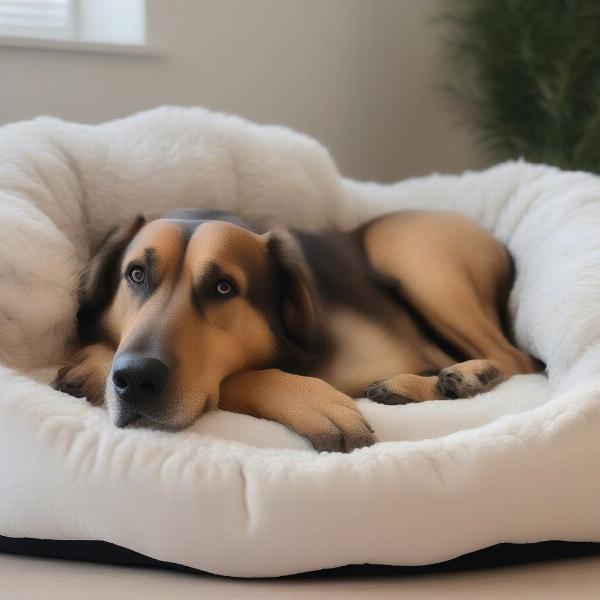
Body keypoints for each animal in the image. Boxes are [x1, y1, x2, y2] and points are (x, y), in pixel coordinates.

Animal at [55, 210, 540, 450]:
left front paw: (312, 400)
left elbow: (239, 377)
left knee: (519, 360)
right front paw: (93, 365)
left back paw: (461, 376)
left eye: (223, 287)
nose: (135, 379)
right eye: (136, 274)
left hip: (414, 258)